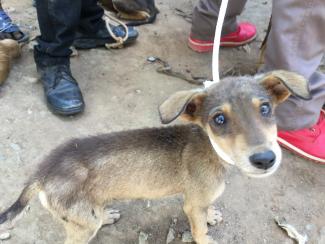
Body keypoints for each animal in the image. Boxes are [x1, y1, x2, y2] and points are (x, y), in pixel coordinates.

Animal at [0, 70, 308, 244]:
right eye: (219, 119)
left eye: (265, 108)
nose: (265, 159)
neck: (211, 148)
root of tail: (41, 174)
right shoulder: (192, 204)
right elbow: (198, 232)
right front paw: (206, 235)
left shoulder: (199, 199)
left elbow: (207, 211)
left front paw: (212, 217)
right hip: (81, 224)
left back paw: (107, 215)